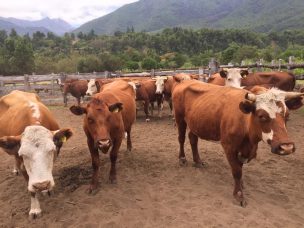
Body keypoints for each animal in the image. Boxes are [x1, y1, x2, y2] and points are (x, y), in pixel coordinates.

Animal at [172, 79, 302, 208]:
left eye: (287, 115)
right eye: (261, 116)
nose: (286, 147)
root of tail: (186, 80)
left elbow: (240, 167)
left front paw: (241, 184)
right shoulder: (229, 146)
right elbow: (237, 171)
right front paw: (239, 194)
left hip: (195, 123)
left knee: (193, 139)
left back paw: (198, 161)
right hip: (179, 118)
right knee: (181, 138)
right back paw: (182, 159)